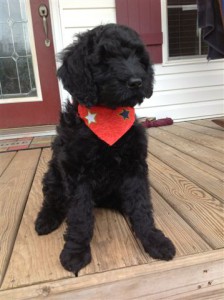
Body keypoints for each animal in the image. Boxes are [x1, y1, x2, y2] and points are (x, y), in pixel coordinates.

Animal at [35, 24, 176, 274]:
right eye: (104, 60)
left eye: (138, 57)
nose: (136, 82)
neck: (108, 118)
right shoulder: (76, 174)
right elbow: (80, 215)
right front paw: (75, 252)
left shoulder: (134, 169)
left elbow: (141, 206)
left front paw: (153, 240)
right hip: (53, 173)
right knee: (52, 199)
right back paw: (45, 220)